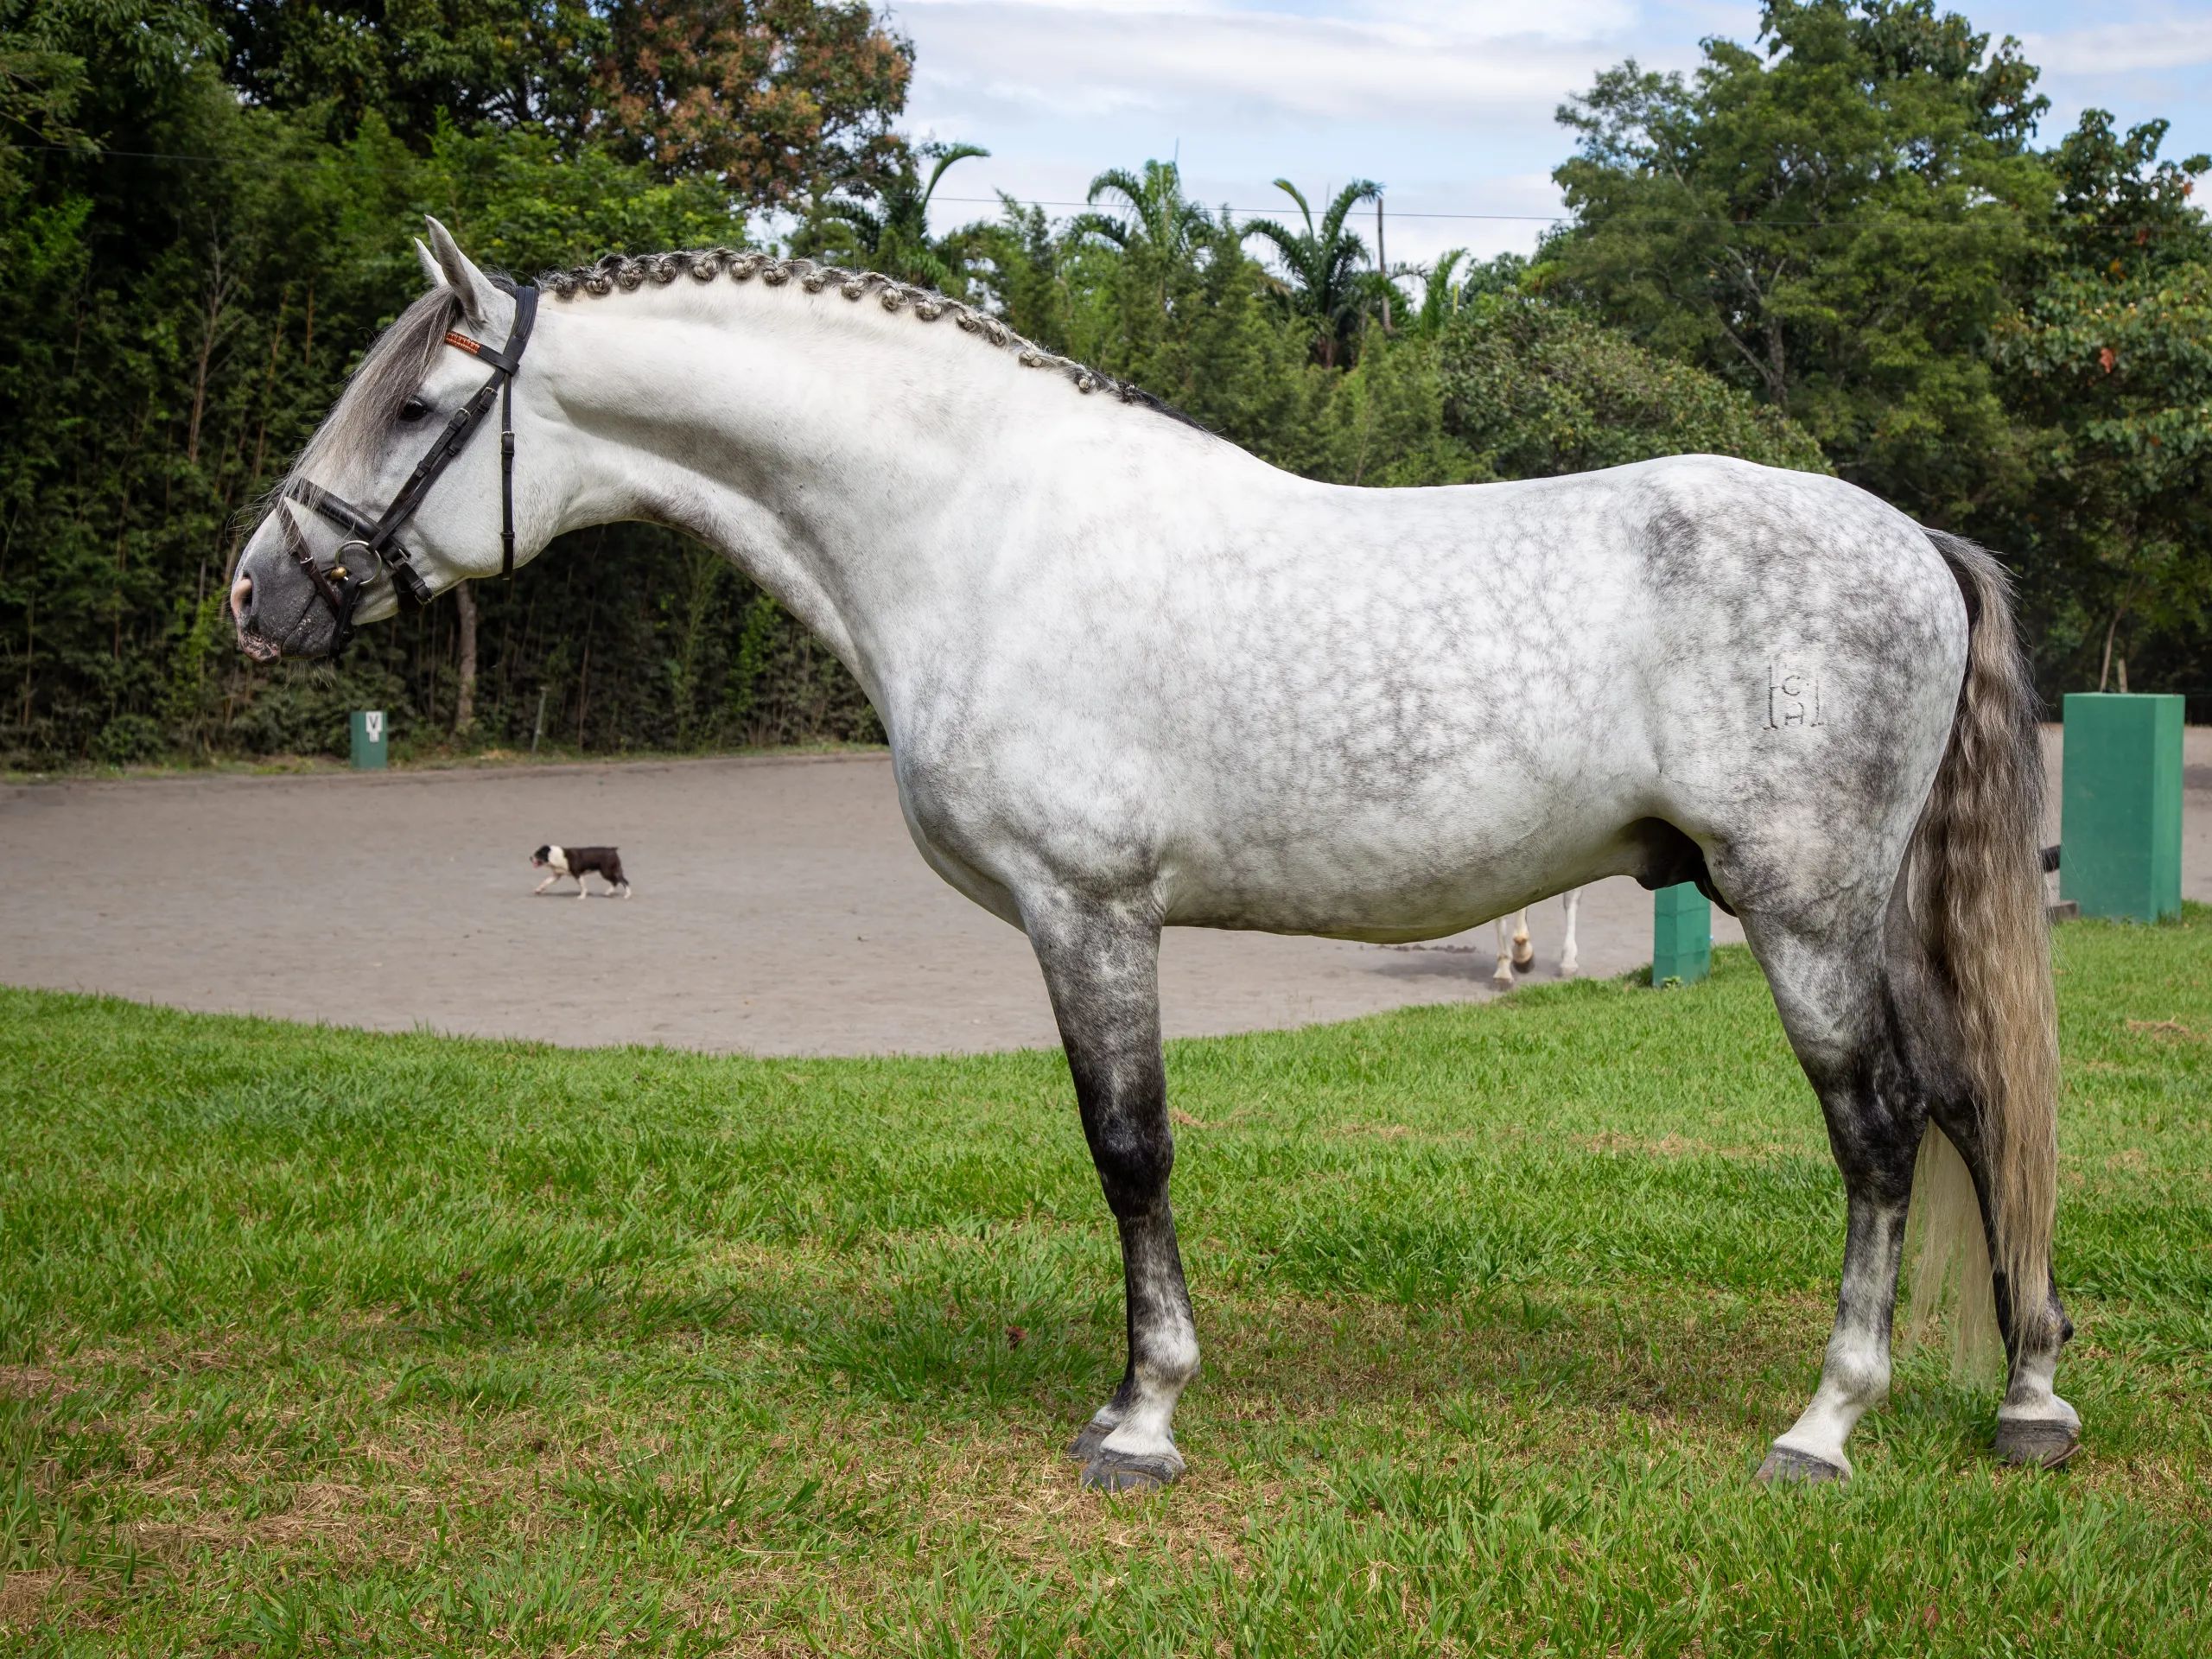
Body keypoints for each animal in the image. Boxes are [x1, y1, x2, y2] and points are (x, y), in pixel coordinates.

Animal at [228, 220, 2079, 1491]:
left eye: (416, 403)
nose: (258, 593)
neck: (976, 527)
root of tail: (1905, 535)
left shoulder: (1090, 912)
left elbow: (1130, 1149)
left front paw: (1143, 1415)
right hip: (1868, 915)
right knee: (1971, 1101)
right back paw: (2030, 1396)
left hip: (1803, 912)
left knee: (1880, 1126)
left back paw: (1828, 1426)